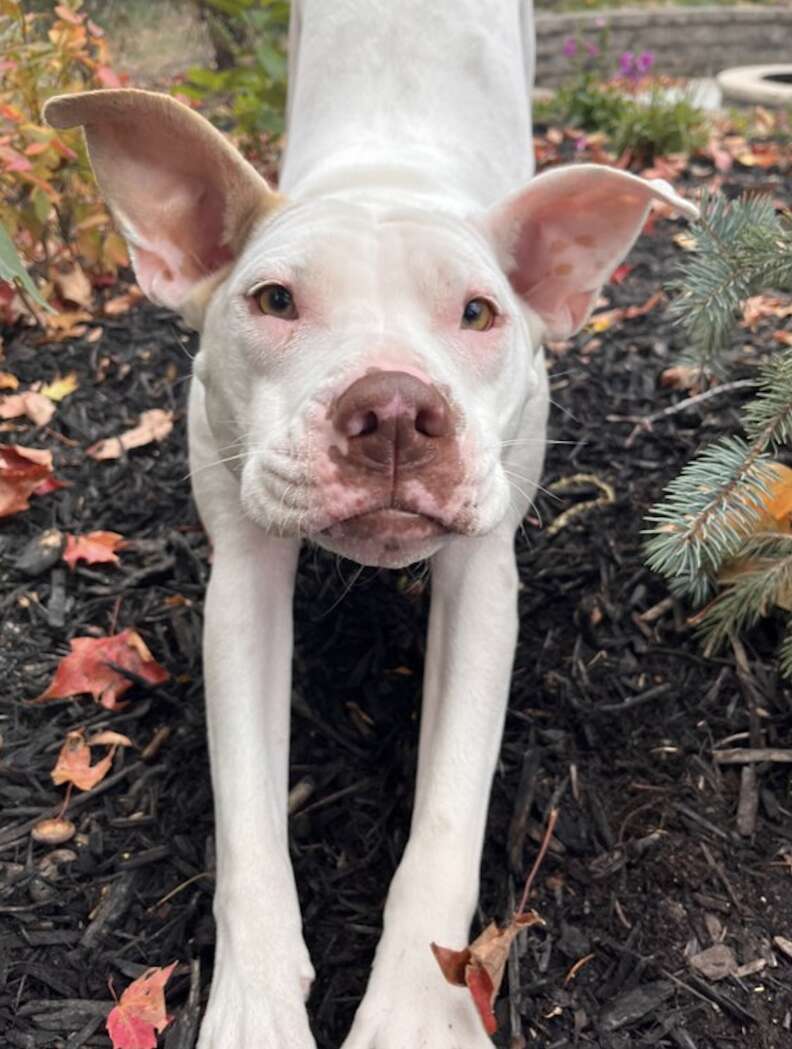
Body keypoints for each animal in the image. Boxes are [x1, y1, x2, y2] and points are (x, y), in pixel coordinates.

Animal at [46, 4, 696, 1044]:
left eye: (479, 313)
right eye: (274, 299)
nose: (393, 407)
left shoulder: (483, 585)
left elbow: (450, 811)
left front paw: (416, 1014)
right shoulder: (242, 580)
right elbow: (247, 815)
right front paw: (257, 1007)